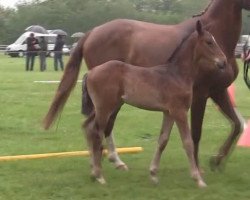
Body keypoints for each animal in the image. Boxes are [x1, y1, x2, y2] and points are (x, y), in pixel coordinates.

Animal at [82, 21, 227, 188]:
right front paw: (198, 179)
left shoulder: (169, 112)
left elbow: (162, 140)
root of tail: (91, 72)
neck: (177, 74)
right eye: (209, 42)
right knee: (96, 133)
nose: (223, 61)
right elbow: (188, 142)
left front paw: (153, 174)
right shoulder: (180, 111)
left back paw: (93, 171)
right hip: (105, 108)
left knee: (88, 127)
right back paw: (99, 175)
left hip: (103, 107)